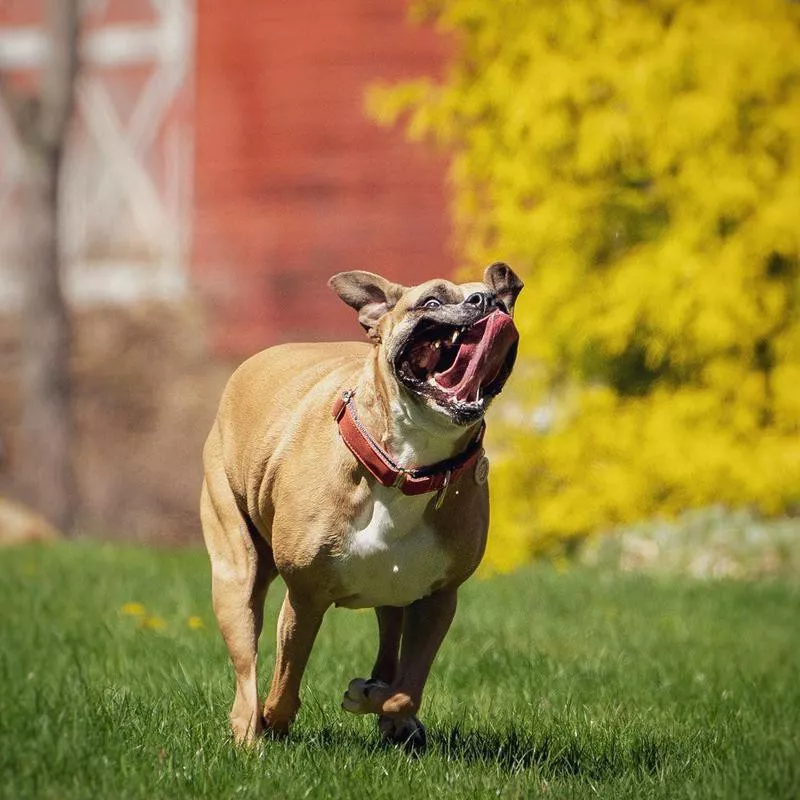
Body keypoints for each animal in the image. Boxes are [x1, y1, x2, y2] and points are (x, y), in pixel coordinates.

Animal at [202, 266, 524, 748]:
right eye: (431, 302)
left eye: (500, 302)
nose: (486, 302)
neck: (408, 466)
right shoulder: (306, 597)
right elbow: (286, 680)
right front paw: (275, 719)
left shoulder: (438, 599)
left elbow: (407, 688)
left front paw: (375, 699)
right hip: (234, 572)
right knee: (247, 659)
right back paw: (248, 729)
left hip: (393, 590)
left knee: (391, 646)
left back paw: (391, 715)